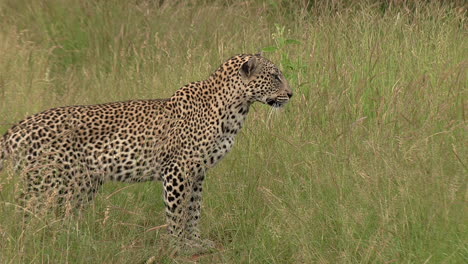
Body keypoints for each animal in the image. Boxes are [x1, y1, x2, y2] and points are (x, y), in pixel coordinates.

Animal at [0, 53, 290, 252]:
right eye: (275, 76)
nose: (291, 93)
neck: (236, 109)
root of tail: (16, 128)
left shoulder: (198, 173)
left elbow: (194, 209)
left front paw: (196, 241)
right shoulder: (177, 169)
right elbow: (177, 211)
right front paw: (179, 246)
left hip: (82, 184)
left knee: (62, 217)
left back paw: (78, 241)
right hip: (48, 183)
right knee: (25, 216)